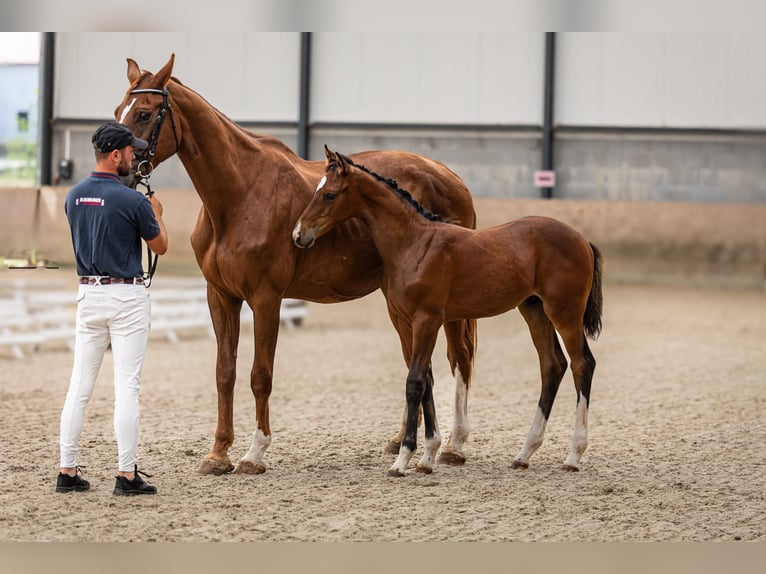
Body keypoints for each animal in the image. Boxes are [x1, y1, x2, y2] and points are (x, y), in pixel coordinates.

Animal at [113, 54, 478, 475]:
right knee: (420, 365)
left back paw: (453, 445)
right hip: (398, 303)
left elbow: (260, 375)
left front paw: (254, 453)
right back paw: (402, 442)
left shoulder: (266, 298)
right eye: (117, 111)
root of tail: (452, 177)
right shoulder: (220, 297)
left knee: (459, 358)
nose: (120, 170)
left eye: (143, 113)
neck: (241, 194)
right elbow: (225, 373)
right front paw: (218, 453)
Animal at [293, 147, 603, 476]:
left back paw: (573, 455)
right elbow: (426, 380)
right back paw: (524, 453)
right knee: (552, 365)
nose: (299, 234)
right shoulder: (410, 321)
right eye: (317, 190)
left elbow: (415, 382)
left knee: (582, 364)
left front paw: (403, 460)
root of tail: (583, 240)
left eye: (330, 194)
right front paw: (427, 457)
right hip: (534, 311)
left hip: (565, 312)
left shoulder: (427, 320)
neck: (415, 243)